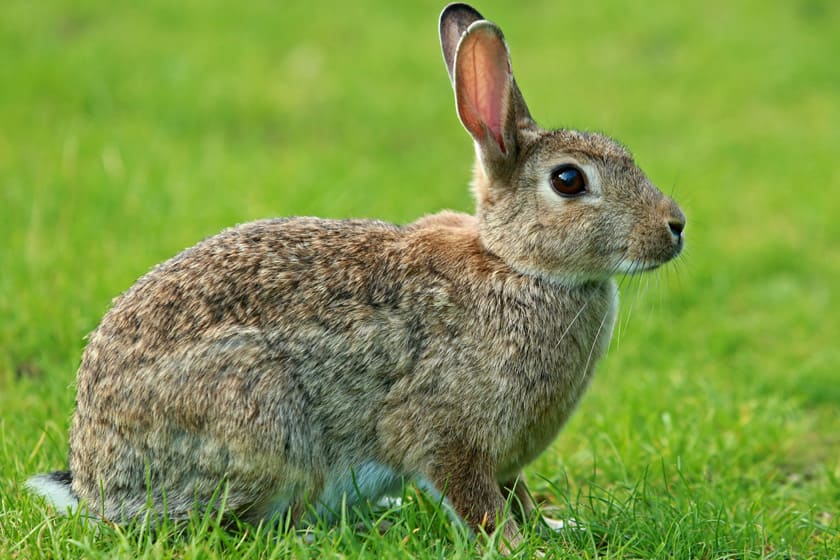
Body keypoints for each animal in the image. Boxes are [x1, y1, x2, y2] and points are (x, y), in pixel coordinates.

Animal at [27, 2, 686, 552]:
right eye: (569, 181)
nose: (676, 226)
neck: (514, 263)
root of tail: (97, 481)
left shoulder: (506, 459)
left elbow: (515, 493)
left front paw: (554, 526)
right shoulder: (447, 436)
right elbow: (475, 501)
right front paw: (521, 547)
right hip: (262, 424)